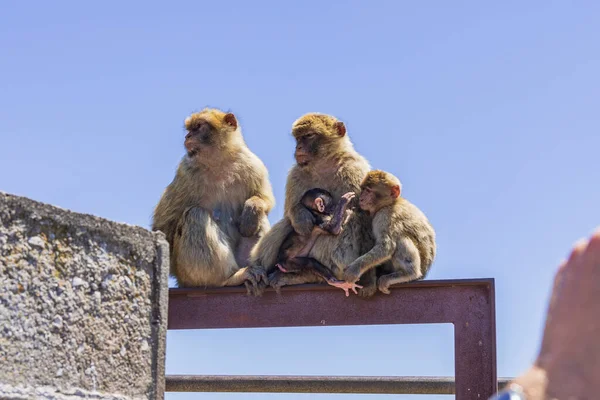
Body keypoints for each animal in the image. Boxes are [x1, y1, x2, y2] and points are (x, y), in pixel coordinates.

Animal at [152, 108, 274, 290]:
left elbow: (265, 198)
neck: (219, 162)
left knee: (259, 219)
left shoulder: (253, 164)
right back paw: (227, 278)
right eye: (190, 128)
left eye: (198, 126)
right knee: (195, 214)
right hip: (187, 272)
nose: (187, 136)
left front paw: (252, 209)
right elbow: (163, 224)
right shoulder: (185, 172)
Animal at [244, 112, 376, 296]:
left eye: (308, 136)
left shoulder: (354, 169)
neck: (324, 163)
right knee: (288, 223)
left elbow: (363, 216)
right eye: (298, 138)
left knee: (351, 220)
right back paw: (260, 271)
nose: (298, 147)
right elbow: (293, 212)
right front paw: (302, 217)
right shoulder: (296, 173)